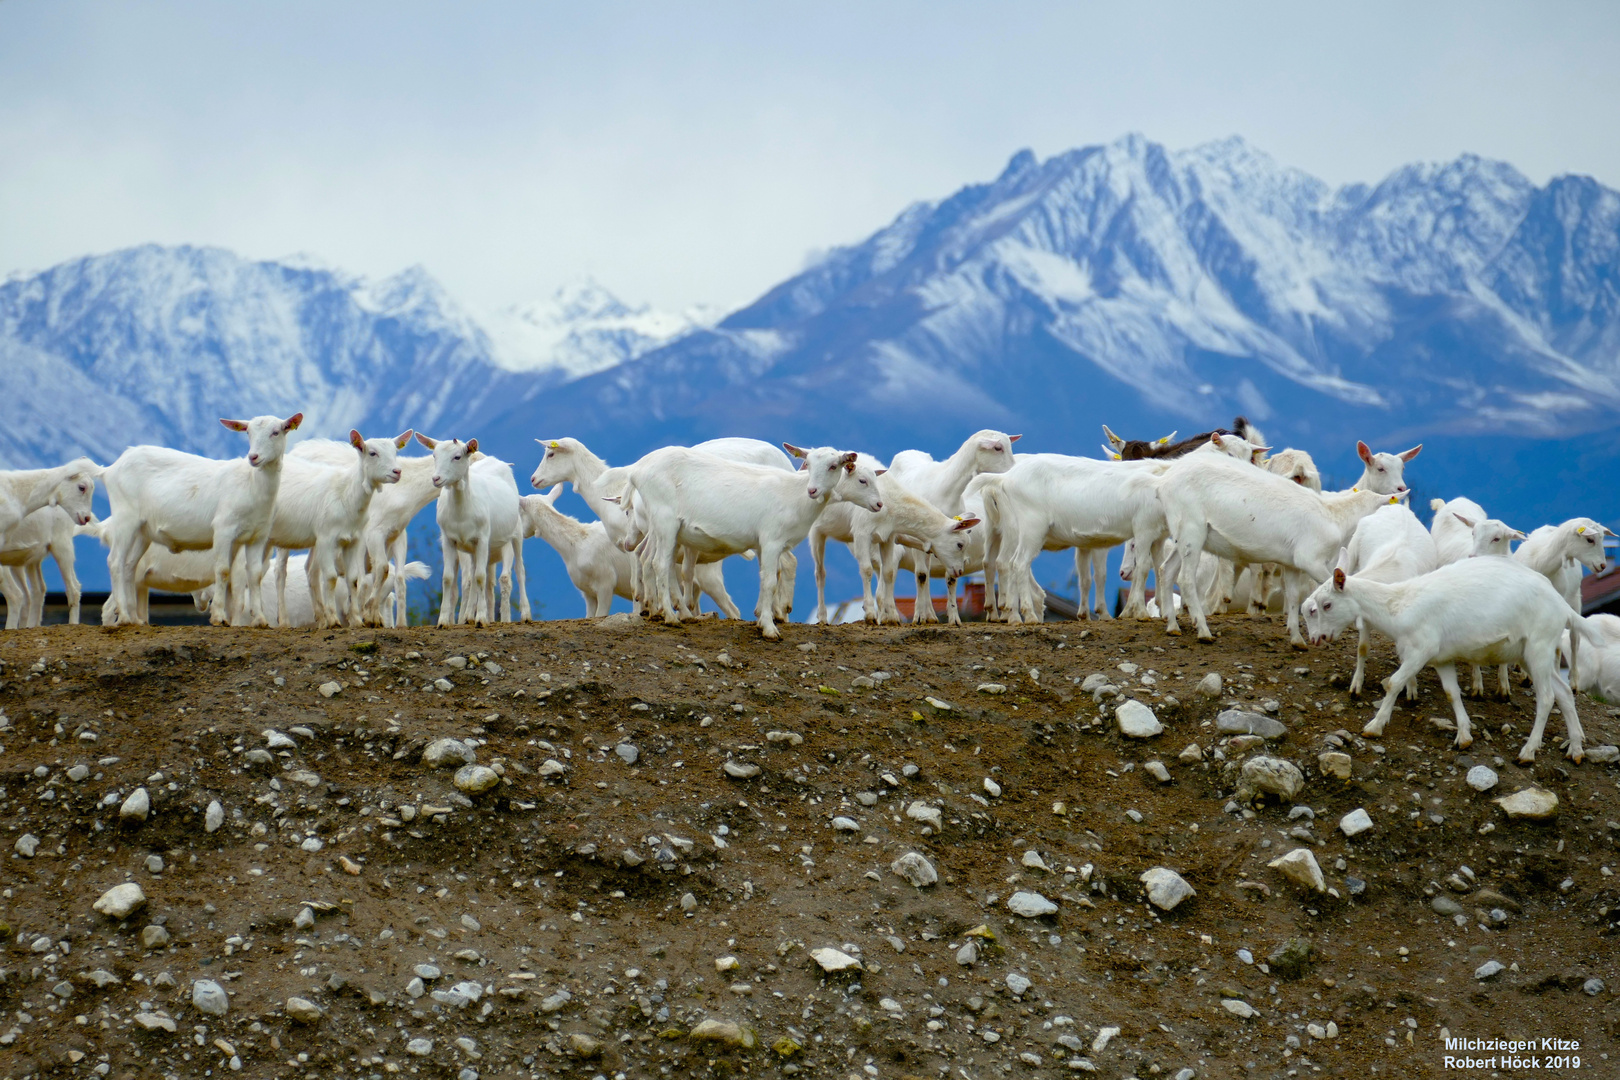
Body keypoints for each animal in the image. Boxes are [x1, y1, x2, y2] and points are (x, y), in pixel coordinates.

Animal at [102, 417, 304, 628]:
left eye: (276, 432)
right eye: (248, 432)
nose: (254, 457)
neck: (251, 484)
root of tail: (109, 469)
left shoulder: (258, 536)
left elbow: (254, 575)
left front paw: (259, 619)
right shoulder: (224, 529)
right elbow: (223, 570)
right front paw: (219, 617)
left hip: (143, 531)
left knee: (129, 566)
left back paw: (134, 619)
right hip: (125, 517)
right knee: (115, 561)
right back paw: (124, 616)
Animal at [1302, 553, 1594, 764]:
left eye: (1326, 605)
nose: (1317, 638)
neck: (1398, 606)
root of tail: (1562, 605)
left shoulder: (1420, 650)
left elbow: (1394, 683)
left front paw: (1375, 725)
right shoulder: (1440, 658)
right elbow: (1452, 692)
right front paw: (1464, 735)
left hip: (1539, 647)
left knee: (1546, 697)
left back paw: (1528, 751)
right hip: (1528, 655)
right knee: (1564, 692)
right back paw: (1576, 750)